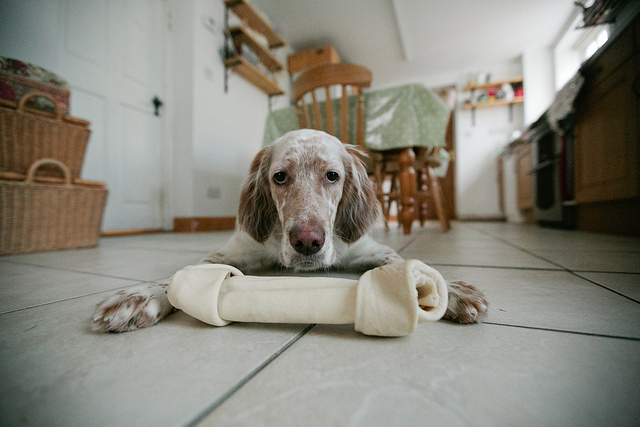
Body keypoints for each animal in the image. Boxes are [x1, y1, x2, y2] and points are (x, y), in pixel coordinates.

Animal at [94, 129, 484, 332]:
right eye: (280, 176)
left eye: (332, 175)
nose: (307, 242)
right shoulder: (230, 252)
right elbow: (179, 276)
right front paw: (140, 296)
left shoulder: (370, 250)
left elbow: (405, 265)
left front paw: (448, 289)